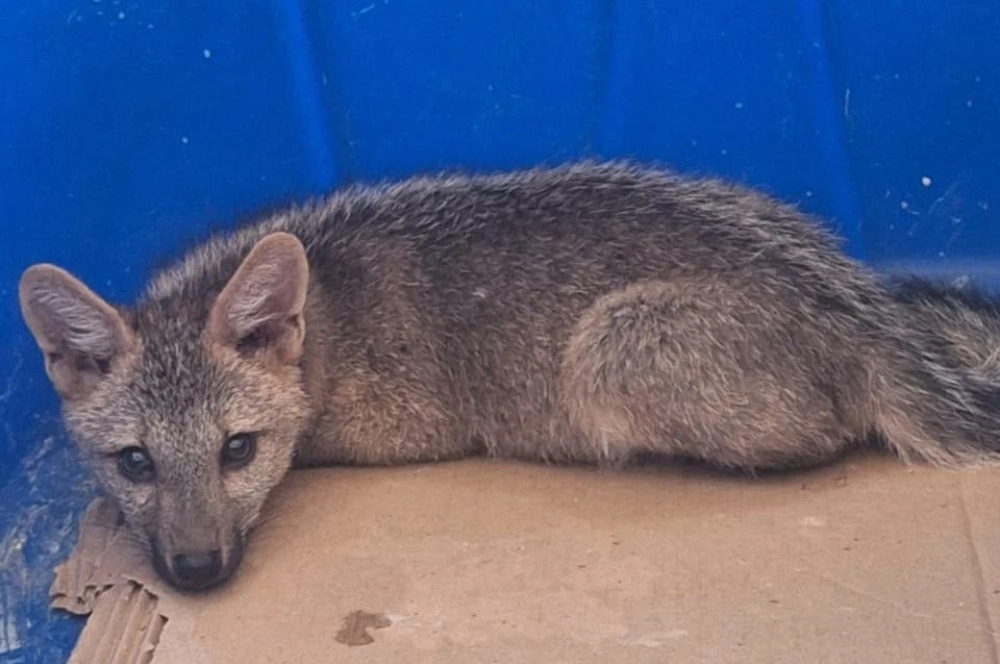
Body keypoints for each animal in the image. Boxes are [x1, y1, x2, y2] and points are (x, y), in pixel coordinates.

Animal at [18, 161, 1000, 592]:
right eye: (135, 462)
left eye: (238, 451)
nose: (195, 572)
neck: (327, 301)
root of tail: (859, 306)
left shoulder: (392, 432)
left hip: (609, 345)